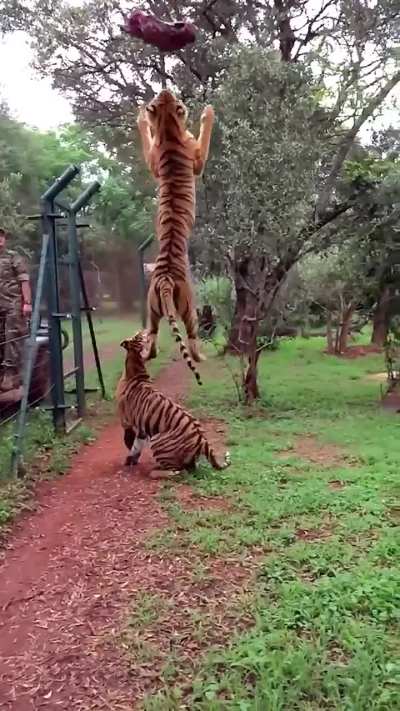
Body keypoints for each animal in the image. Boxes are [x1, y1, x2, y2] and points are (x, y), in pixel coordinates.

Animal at [116, 331, 231, 478]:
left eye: (139, 337)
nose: (144, 331)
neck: (136, 367)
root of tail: (202, 440)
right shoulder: (142, 428)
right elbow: (136, 445)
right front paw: (131, 459)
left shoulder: (126, 420)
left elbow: (130, 440)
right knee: (189, 468)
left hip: (157, 441)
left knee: (177, 471)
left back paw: (154, 471)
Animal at [136, 89, 215, 386]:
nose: (166, 90)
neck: (168, 128)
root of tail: (166, 281)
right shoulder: (198, 160)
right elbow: (205, 136)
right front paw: (208, 112)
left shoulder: (152, 161)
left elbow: (146, 140)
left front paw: (140, 118)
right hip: (191, 308)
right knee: (191, 342)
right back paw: (203, 357)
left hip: (151, 309)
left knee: (152, 337)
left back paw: (148, 352)